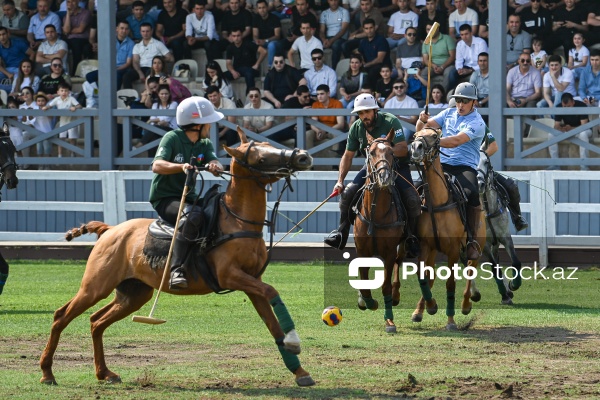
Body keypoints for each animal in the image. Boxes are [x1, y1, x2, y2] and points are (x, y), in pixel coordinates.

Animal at [39, 129, 316, 388]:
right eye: (261, 157)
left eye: (269, 145)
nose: (303, 156)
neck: (237, 220)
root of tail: (110, 230)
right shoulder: (230, 276)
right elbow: (272, 292)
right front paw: (294, 341)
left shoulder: (251, 281)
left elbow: (273, 324)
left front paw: (300, 371)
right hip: (95, 285)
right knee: (61, 316)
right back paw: (47, 373)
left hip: (134, 293)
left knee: (96, 321)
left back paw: (105, 373)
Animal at [354, 129, 406, 334]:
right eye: (371, 152)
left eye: (392, 153)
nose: (384, 177)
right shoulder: (362, 250)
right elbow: (364, 282)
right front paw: (366, 301)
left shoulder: (389, 251)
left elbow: (385, 286)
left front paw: (389, 321)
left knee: (399, 263)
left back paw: (396, 295)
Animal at [408, 129, 488, 332]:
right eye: (416, 135)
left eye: (435, 137)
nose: (416, 147)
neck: (438, 202)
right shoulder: (425, 246)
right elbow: (423, 276)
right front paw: (428, 307)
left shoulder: (453, 250)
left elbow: (450, 283)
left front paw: (451, 322)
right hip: (433, 251)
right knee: (431, 276)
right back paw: (421, 310)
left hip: (477, 246)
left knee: (470, 271)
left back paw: (466, 305)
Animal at [478, 152, 520, 304]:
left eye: (486, 162)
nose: (479, 184)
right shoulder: (484, 244)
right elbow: (495, 268)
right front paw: (504, 295)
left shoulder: (505, 237)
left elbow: (516, 262)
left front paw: (513, 286)